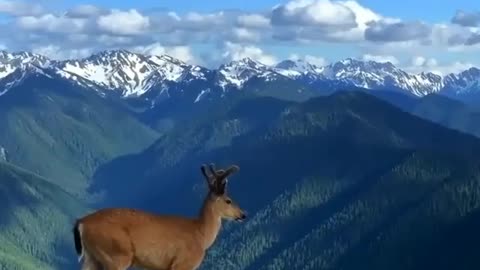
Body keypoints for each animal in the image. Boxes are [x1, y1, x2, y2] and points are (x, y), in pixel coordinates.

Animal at [73, 163, 249, 268]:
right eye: (228, 200)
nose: (243, 214)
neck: (200, 234)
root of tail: (81, 222)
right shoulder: (182, 263)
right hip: (116, 254)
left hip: (92, 257)